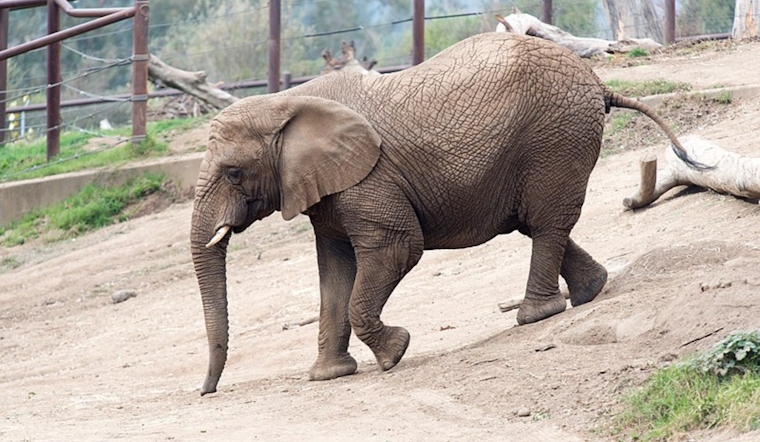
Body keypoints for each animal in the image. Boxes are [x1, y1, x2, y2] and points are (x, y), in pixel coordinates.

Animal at [191, 32, 700, 395]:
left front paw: (395, 354)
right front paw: (329, 376)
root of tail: (598, 81)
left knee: (545, 222)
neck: (285, 103)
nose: (206, 392)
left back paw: (536, 315)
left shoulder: (367, 179)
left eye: (234, 174)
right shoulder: (327, 188)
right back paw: (591, 291)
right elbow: (334, 272)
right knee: (533, 221)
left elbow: (397, 248)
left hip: (554, 136)